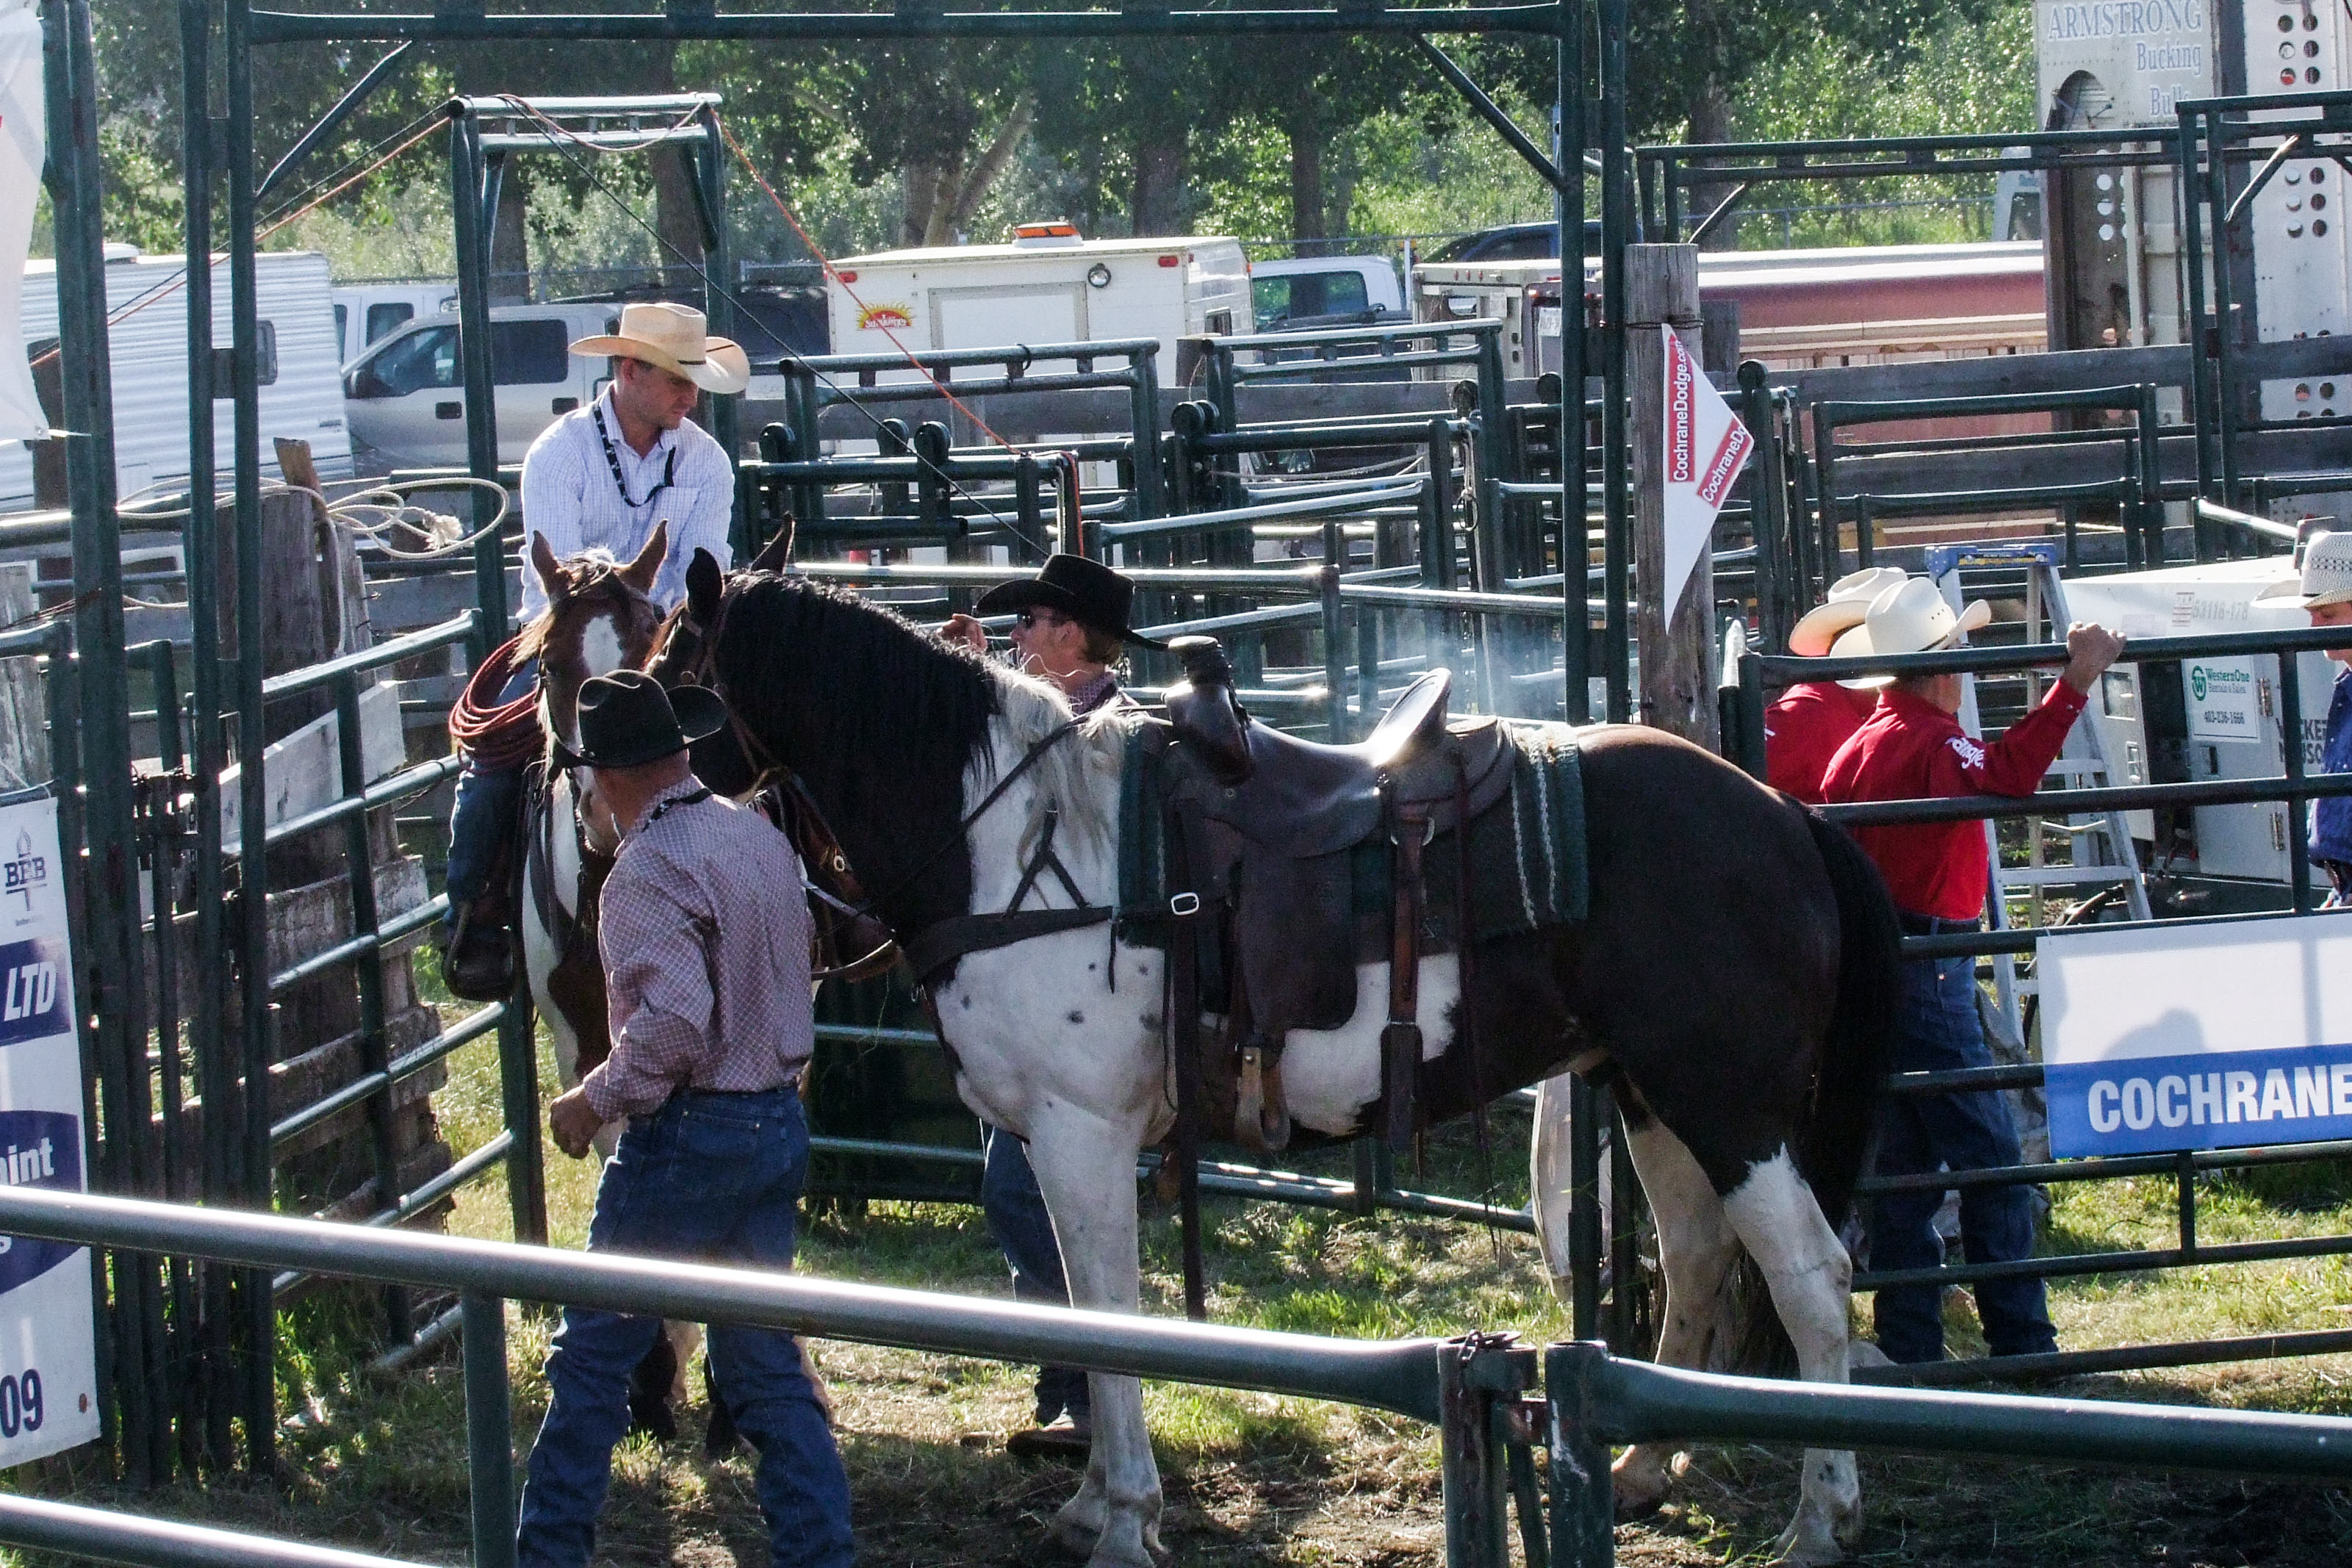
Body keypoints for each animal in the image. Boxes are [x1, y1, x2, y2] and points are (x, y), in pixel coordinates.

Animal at [648, 553, 1901, 1568]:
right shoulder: (1058, 1140)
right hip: (1649, 1092)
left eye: (666, 672)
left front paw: (1124, 1519)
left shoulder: (1078, 1130)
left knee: (1809, 1278)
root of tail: (1781, 815)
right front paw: (1094, 1501)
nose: (610, 801)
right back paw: (1640, 1472)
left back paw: (1822, 1518)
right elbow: (1077, 1306)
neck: (1020, 836)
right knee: (1699, 1259)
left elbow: (1105, 1309)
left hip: (1731, 1105)